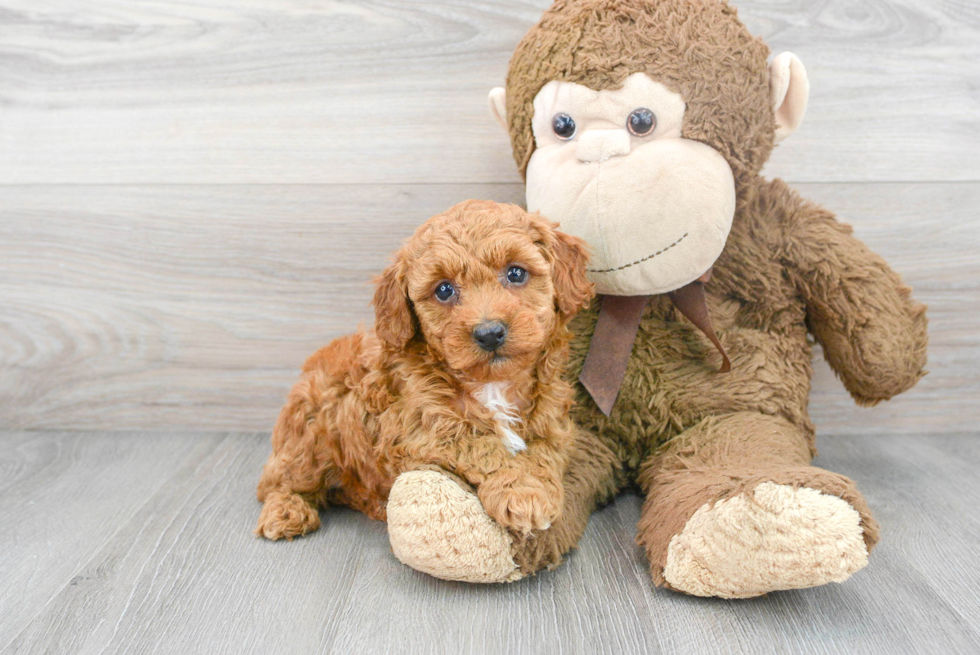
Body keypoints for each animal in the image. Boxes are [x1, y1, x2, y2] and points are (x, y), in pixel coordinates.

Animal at [255, 201, 588, 544]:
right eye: (444, 290)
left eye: (516, 273)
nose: (489, 333)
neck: (492, 385)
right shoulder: (426, 430)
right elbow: (485, 446)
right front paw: (521, 493)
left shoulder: (550, 423)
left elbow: (544, 454)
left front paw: (532, 488)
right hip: (309, 435)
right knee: (277, 482)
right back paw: (286, 511)